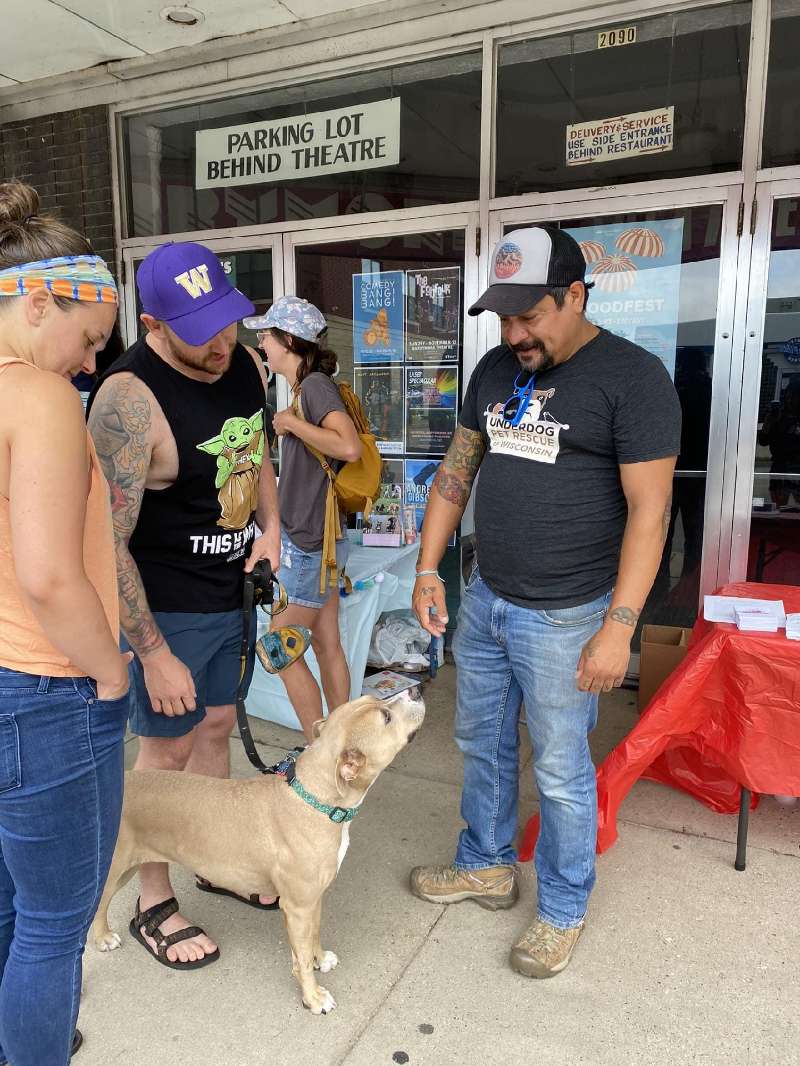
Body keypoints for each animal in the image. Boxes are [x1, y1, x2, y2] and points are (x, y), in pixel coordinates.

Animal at [90, 686, 426, 1010]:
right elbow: (301, 960)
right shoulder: (298, 907)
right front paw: (313, 997)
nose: (417, 690)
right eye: (385, 717)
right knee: (97, 906)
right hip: (112, 871)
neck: (316, 798)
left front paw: (319, 958)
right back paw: (102, 939)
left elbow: (313, 936)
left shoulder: (312, 900)